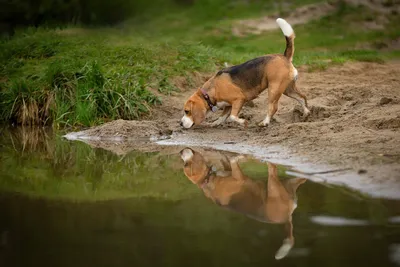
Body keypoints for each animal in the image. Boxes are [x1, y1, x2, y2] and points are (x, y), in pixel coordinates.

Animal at [180, 148, 308, 260]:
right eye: (185, 165)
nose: (180, 152)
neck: (207, 179)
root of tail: (286, 218)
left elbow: (228, 162)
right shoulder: (238, 177)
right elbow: (233, 161)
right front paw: (238, 157)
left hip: (289, 184)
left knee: (303, 178)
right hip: (274, 187)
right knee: (273, 169)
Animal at [181, 17, 310, 129]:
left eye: (187, 111)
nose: (180, 124)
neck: (210, 91)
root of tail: (284, 57)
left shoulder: (238, 100)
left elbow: (232, 117)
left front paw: (243, 122)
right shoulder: (228, 105)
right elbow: (223, 116)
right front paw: (215, 123)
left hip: (274, 89)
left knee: (273, 108)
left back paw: (265, 122)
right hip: (287, 89)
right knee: (302, 97)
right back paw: (306, 114)